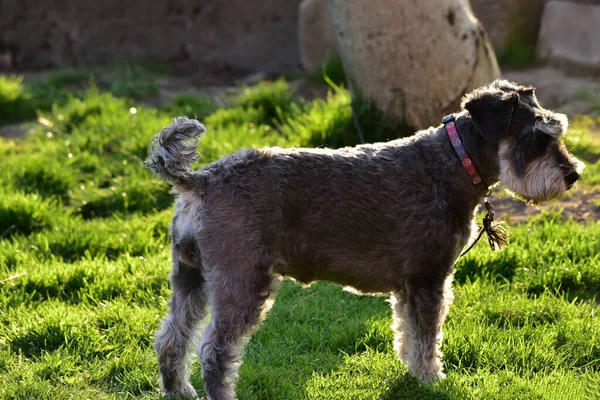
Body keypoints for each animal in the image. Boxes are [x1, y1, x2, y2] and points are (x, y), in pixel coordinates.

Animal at [145, 79, 584, 398]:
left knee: (171, 339)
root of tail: (199, 181)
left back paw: (179, 391)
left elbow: (408, 334)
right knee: (215, 352)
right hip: (242, 283)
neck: (454, 163)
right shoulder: (429, 277)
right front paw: (432, 380)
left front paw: (414, 375)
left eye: (556, 131)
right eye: (536, 138)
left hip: (189, 277)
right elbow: (427, 336)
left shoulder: (410, 286)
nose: (574, 174)